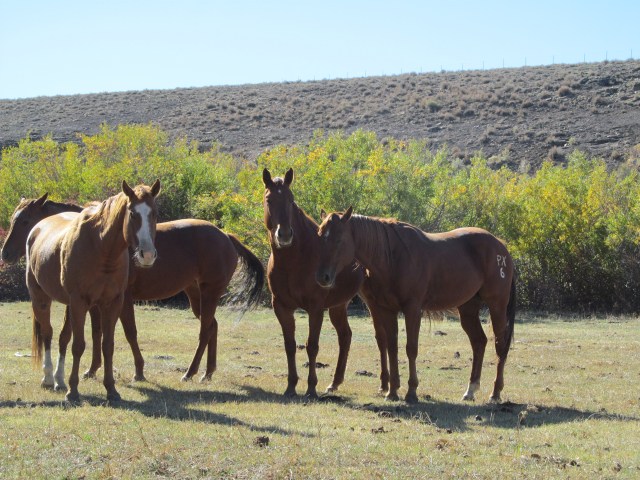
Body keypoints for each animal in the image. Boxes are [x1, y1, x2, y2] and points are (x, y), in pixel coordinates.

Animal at [1, 194, 264, 387]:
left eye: (25, 221)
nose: (5, 254)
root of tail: (226, 236)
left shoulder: (122, 299)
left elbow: (129, 333)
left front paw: (139, 370)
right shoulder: (95, 303)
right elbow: (97, 334)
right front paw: (92, 369)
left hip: (209, 293)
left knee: (205, 331)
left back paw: (191, 372)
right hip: (196, 294)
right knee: (212, 327)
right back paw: (207, 372)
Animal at [25, 180, 160, 401]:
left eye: (154, 213)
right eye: (132, 213)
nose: (147, 255)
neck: (101, 248)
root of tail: (37, 228)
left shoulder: (112, 303)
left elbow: (107, 345)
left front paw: (111, 389)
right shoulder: (80, 302)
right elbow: (78, 345)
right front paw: (73, 391)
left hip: (68, 305)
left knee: (63, 337)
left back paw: (59, 380)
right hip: (41, 299)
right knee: (47, 334)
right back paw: (48, 378)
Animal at [262, 168, 365, 398]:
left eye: (291, 200)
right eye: (269, 199)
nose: (284, 234)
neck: (294, 260)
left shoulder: (315, 308)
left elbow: (312, 346)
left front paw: (311, 388)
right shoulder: (281, 306)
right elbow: (290, 345)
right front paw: (291, 386)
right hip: (338, 306)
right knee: (345, 335)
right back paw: (334, 383)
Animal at [315, 207, 516, 404]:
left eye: (339, 239)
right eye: (319, 235)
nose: (323, 277)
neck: (392, 257)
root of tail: (501, 246)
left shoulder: (412, 310)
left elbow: (411, 348)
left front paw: (411, 392)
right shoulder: (387, 310)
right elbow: (391, 347)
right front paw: (392, 391)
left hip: (497, 306)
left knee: (500, 345)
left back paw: (495, 393)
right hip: (468, 309)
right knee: (478, 342)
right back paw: (470, 390)